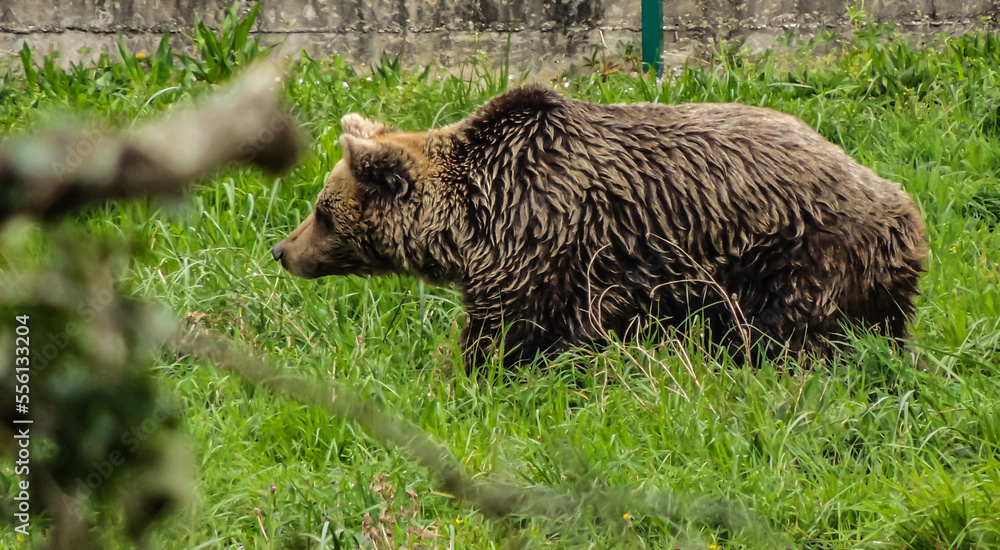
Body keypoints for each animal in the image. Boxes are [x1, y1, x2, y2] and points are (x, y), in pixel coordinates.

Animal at [274, 87, 928, 370]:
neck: (475, 220)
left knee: (791, 338)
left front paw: (465, 375)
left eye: (322, 211)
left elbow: (510, 336)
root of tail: (906, 209)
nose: (282, 249)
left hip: (798, 255)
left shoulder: (544, 250)